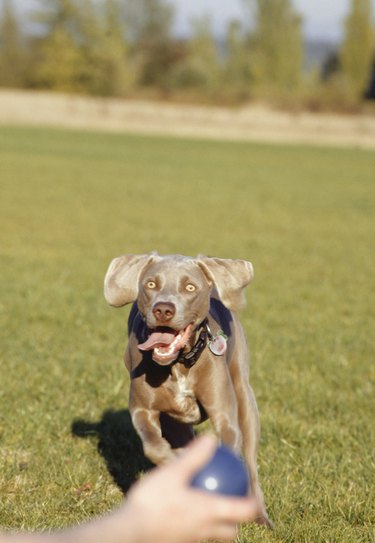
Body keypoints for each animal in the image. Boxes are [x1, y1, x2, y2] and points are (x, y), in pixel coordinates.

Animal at [104, 253, 272, 524]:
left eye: (190, 287)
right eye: (151, 284)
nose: (163, 309)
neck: (179, 364)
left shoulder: (225, 417)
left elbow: (228, 443)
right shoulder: (142, 409)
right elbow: (153, 445)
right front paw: (173, 465)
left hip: (244, 396)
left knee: (250, 461)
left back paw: (261, 516)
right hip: (177, 425)